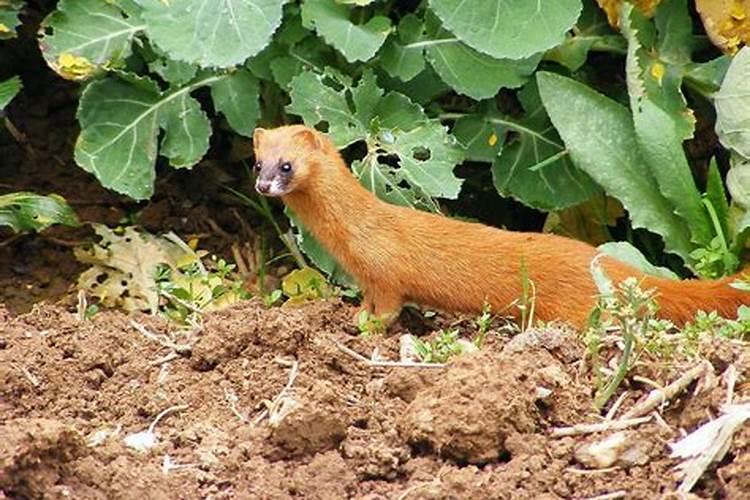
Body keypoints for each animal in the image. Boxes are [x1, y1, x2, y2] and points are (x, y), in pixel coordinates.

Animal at [254, 124, 750, 328]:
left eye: (286, 164)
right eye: (259, 162)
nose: (262, 184)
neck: (352, 234)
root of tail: (610, 264)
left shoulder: (385, 272)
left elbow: (389, 307)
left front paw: (367, 327)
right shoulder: (367, 277)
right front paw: (357, 316)